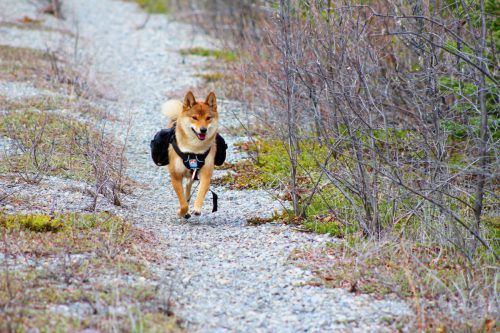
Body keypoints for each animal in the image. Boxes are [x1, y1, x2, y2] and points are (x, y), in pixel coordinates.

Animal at [162, 90, 219, 218]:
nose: (203, 130)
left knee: (188, 186)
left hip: (193, 174)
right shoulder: (176, 176)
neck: (194, 149)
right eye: (194, 118)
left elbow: (201, 192)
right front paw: (182, 212)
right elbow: (182, 202)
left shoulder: (206, 173)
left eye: (208, 118)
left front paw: (197, 208)